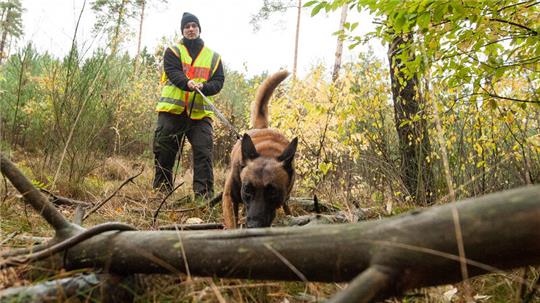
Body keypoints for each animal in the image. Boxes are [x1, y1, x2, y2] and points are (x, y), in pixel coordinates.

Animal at [224, 70, 300, 229]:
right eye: (247, 189)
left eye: (272, 192)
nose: (254, 226)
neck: (267, 152)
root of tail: (262, 127)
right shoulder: (229, 198)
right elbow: (231, 223)